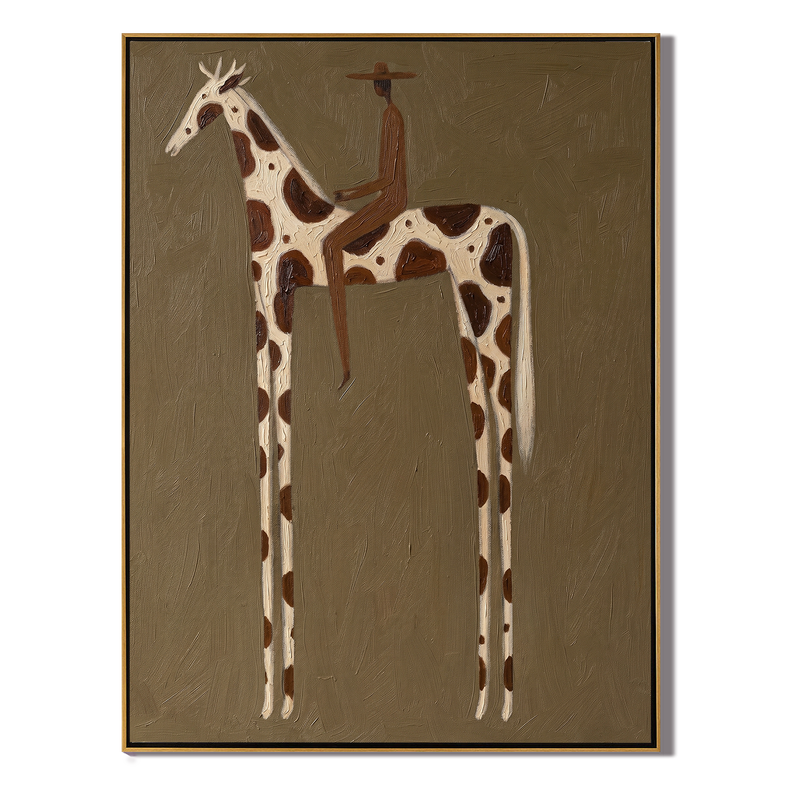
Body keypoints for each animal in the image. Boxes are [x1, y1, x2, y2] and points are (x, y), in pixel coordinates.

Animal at [165, 59, 536, 723]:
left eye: (205, 101)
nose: (173, 140)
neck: (285, 208)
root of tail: (506, 220)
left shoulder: (283, 308)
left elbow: (282, 445)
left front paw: (284, 692)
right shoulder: (262, 319)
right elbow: (266, 443)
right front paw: (272, 692)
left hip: (490, 315)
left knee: (504, 432)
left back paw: (503, 696)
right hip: (466, 322)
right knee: (484, 438)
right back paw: (482, 692)